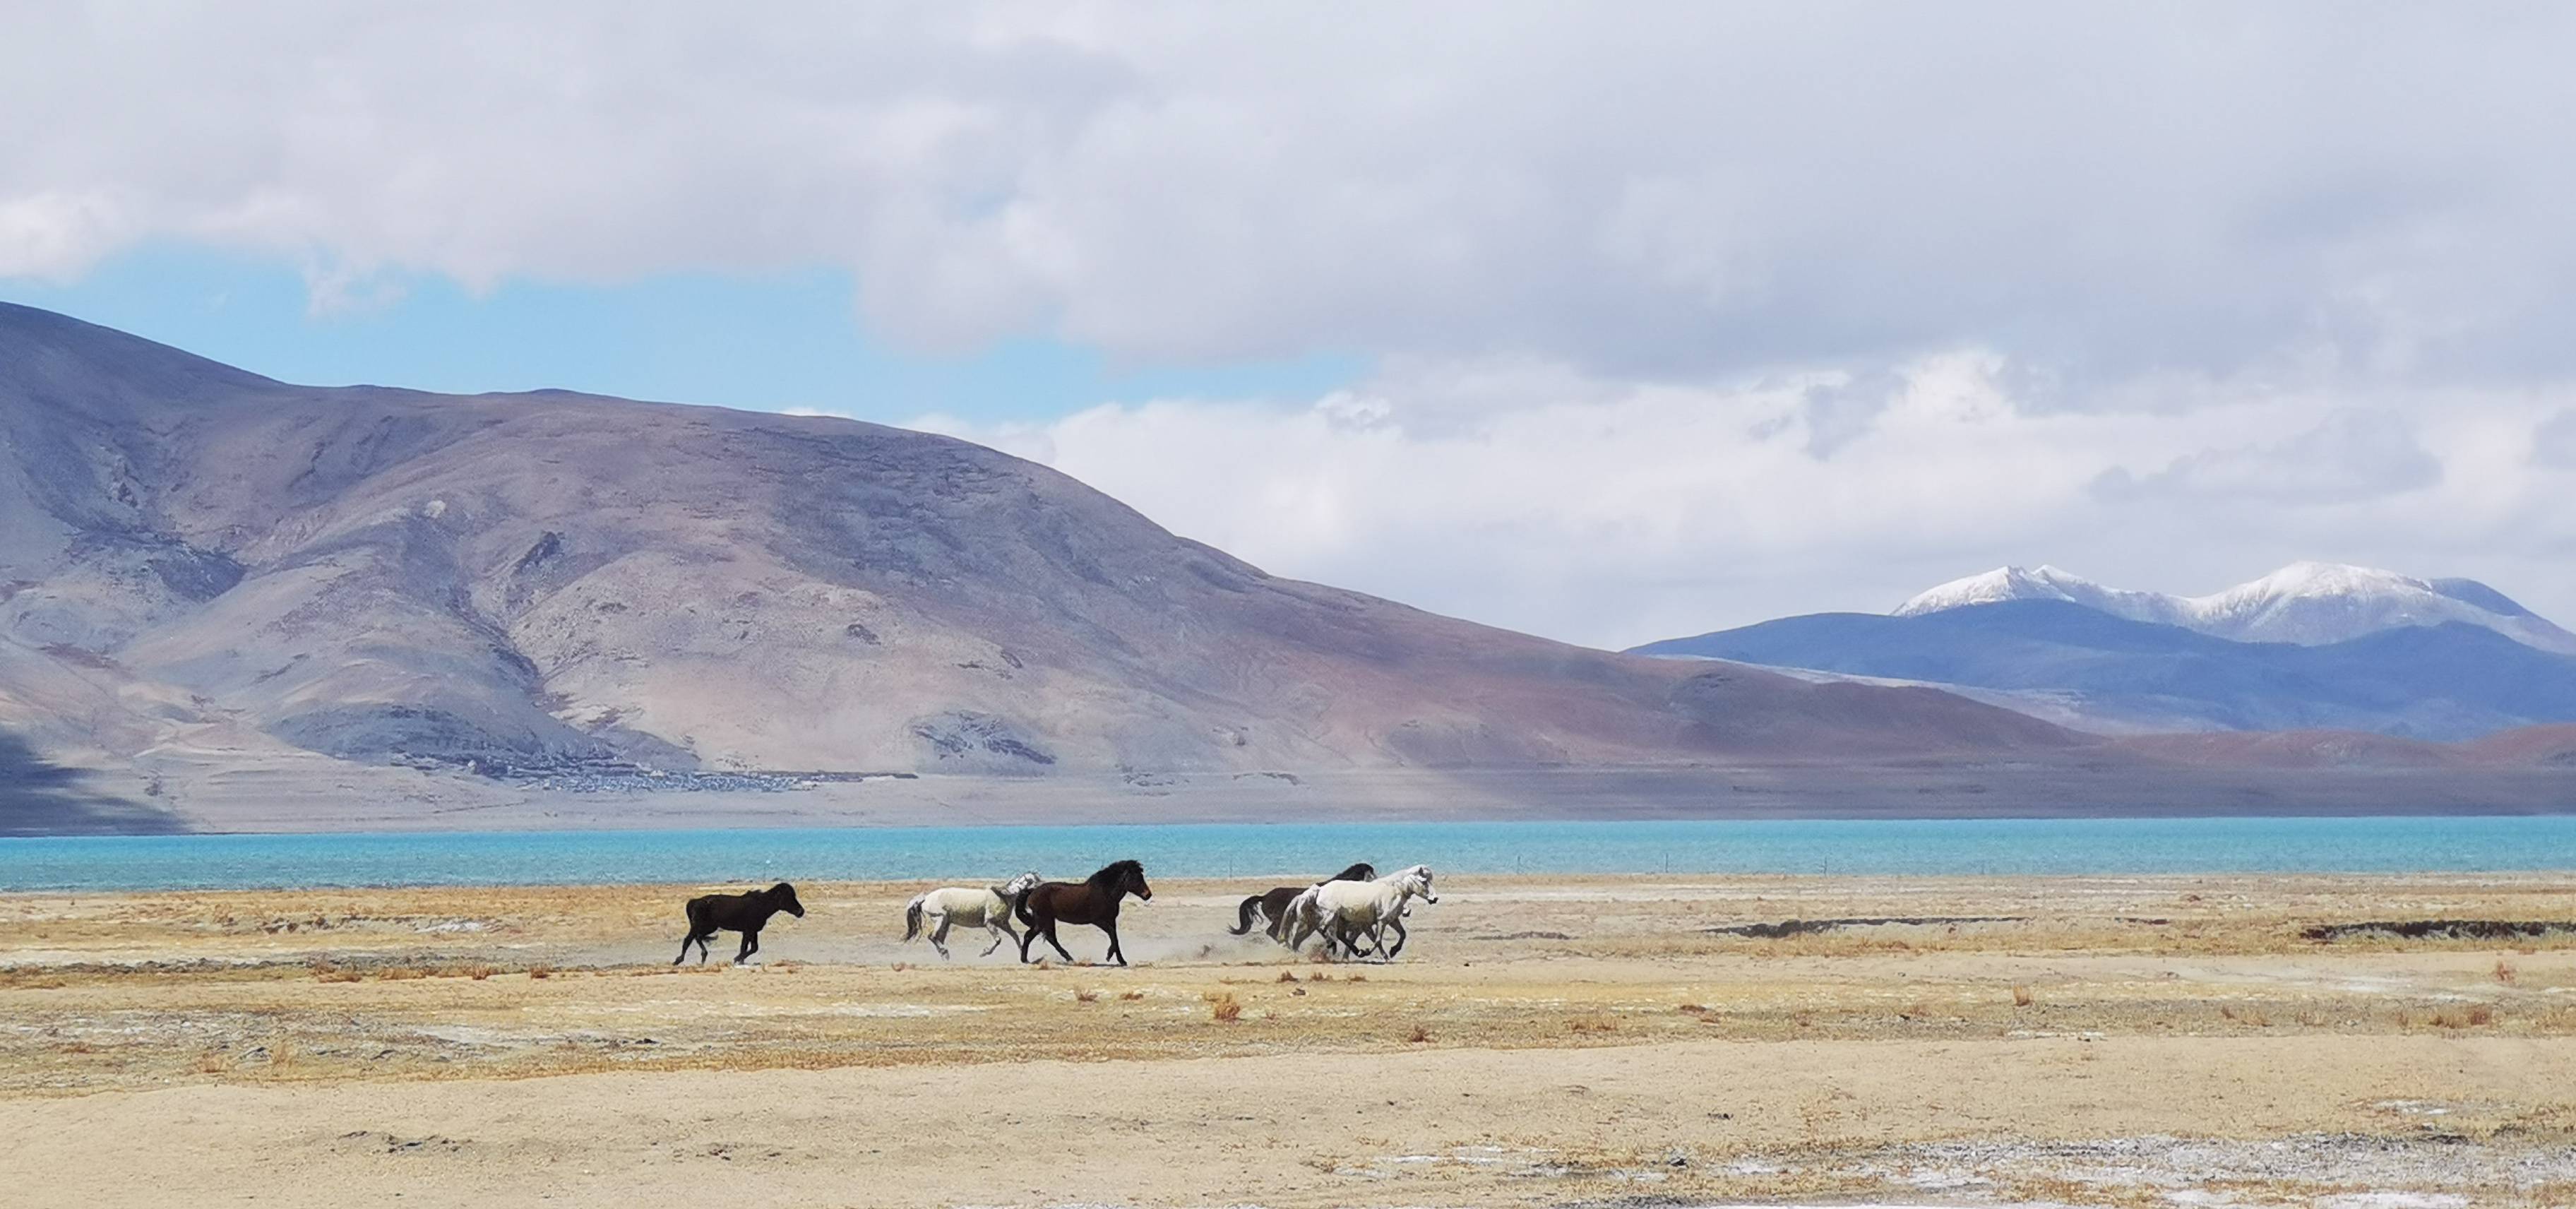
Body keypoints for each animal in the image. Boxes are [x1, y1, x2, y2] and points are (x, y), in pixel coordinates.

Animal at [674, 876, 804, 958]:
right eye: (788, 897)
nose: (801, 912)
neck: (762, 905)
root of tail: (694, 902)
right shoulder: (748, 931)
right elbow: (748, 949)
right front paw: (737, 959)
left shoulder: (751, 932)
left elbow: (750, 948)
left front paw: (739, 960)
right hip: (700, 926)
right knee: (689, 939)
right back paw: (680, 960)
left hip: (709, 927)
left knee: (697, 937)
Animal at [896, 871, 1035, 958]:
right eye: (1035, 881)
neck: (1004, 896)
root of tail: (925, 899)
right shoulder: (989, 923)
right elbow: (998, 940)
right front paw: (984, 953)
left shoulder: (1003, 924)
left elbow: (1015, 936)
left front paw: (1023, 955)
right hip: (941, 918)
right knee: (932, 936)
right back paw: (945, 953)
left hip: (945, 923)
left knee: (938, 939)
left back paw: (945, 956)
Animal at [1015, 855, 1159, 958]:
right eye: (1136, 877)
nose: (1148, 894)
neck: (1106, 892)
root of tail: (1032, 892)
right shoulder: (1098, 920)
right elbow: (1112, 936)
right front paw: (1111, 956)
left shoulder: (1111, 920)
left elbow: (1115, 937)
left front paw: (1119, 959)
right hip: (1045, 919)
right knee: (1047, 938)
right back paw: (1068, 958)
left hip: (1043, 921)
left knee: (1032, 936)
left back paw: (1026, 960)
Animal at [1282, 861, 1442, 958]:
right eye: (1424, 881)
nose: (1435, 899)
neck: (1393, 890)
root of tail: (1319, 890)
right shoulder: (1379, 921)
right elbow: (1377, 940)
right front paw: (1367, 952)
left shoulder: (1389, 920)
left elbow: (1402, 934)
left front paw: (1391, 952)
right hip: (1325, 919)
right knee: (1310, 935)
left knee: (1333, 934)